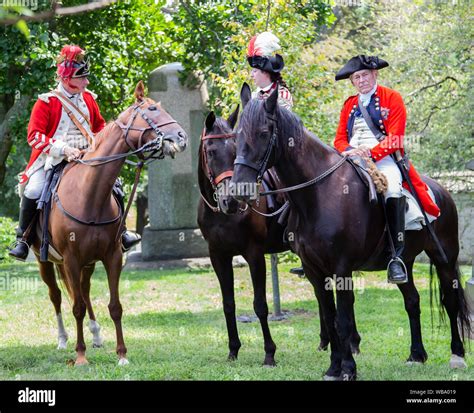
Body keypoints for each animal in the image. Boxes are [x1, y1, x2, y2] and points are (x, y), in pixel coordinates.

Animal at [30, 82, 187, 366]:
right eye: (152, 110)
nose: (181, 137)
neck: (90, 195)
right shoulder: (70, 259)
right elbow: (76, 307)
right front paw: (80, 355)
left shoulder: (112, 256)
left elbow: (114, 306)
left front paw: (122, 354)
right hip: (44, 260)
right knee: (56, 295)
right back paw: (63, 339)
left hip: (87, 263)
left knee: (84, 290)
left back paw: (96, 334)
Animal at [231, 83, 470, 380]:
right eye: (236, 135)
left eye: (264, 133)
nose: (238, 190)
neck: (318, 194)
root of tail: (441, 191)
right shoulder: (314, 270)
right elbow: (329, 317)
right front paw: (334, 367)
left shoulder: (342, 267)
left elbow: (343, 320)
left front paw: (348, 369)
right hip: (405, 261)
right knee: (412, 301)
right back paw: (416, 354)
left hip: (444, 257)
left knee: (451, 300)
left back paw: (457, 355)